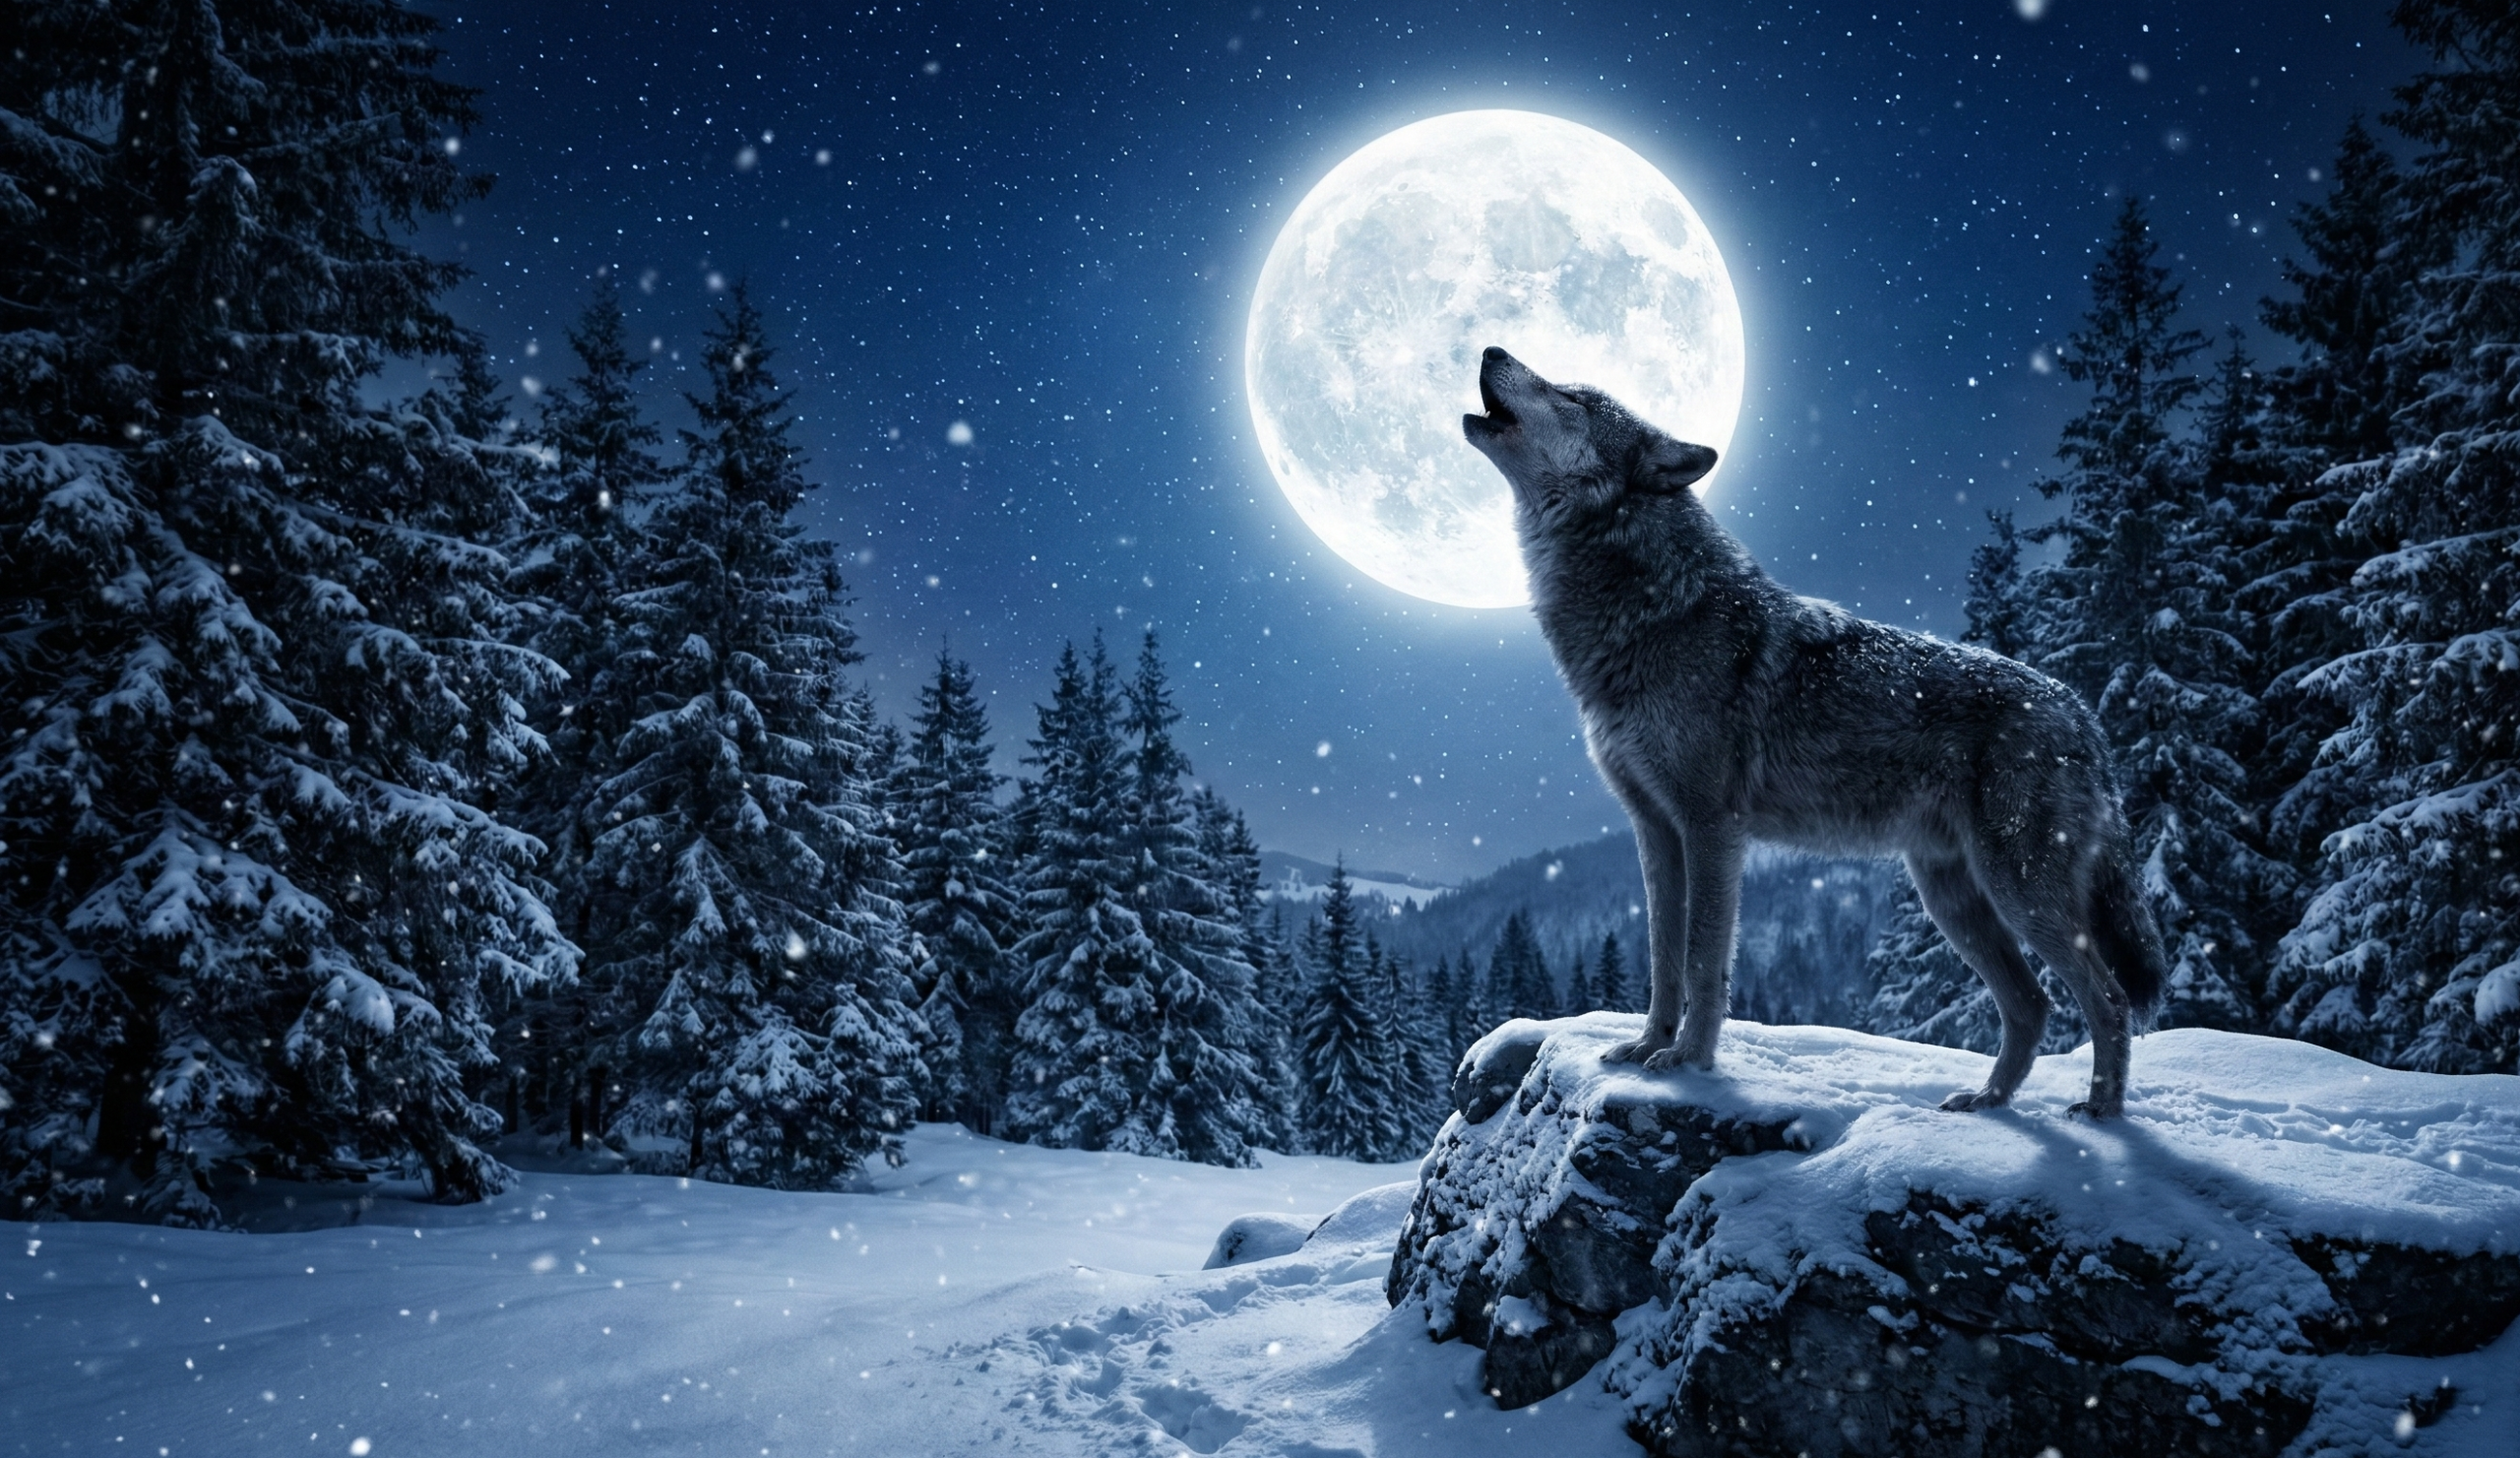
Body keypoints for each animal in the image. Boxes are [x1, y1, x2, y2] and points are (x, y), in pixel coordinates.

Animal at [1462, 347, 2164, 1117]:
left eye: (1573, 397)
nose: (1491, 350)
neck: (1654, 611)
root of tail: (2084, 712)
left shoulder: (1712, 826)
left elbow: (1704, 959)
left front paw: (1688, 1062)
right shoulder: (1655, 830)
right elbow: (1662, 958)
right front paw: (1646, 1048)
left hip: (2019, 893)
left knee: (2108, 999)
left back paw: (2102, 1115)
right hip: (1951, 896)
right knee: (2033, 1003)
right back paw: (1987, 1100)